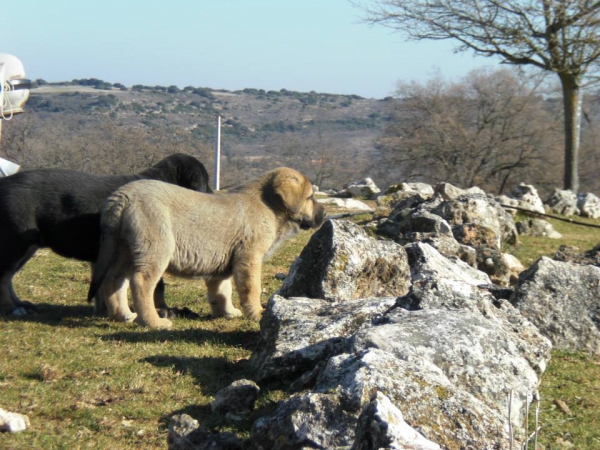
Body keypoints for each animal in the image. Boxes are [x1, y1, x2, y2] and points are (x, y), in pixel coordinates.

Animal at [0, 153, 213, 314]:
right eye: (206, 182)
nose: (213, 195)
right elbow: (158, 286)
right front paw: (163, 310)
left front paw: (104, 309)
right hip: (17, 242)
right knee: (3, 276)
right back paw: (12, 308)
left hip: (26, 247)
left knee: (8, 276)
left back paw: (20, 304)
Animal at [86, 167, 326, 328]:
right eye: (310, 197)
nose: (324, 214)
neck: (269, 206)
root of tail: (123, 196)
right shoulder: (249, 257)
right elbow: (251, 289)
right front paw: (258, 313)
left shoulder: (223, 263)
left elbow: (222, 291)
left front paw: (227, 312)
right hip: (154, 248)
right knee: (141, 283)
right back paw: (153, 321)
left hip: (123, 249)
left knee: (114, 280)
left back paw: (122, 315)